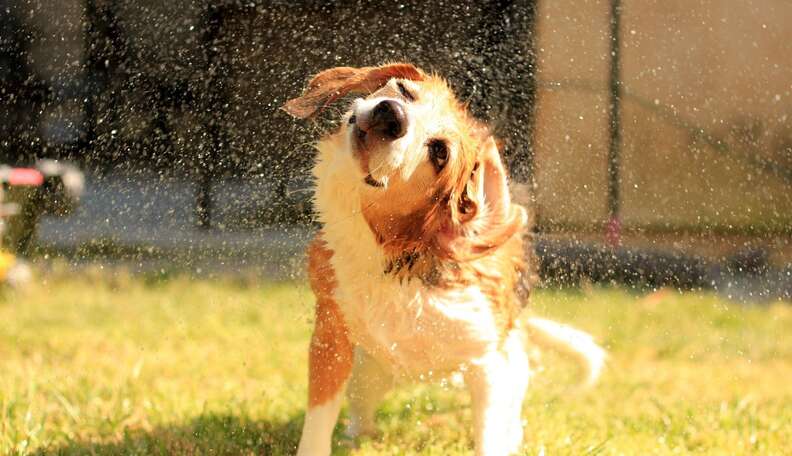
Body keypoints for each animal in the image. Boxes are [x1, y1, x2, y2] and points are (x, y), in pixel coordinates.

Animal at [284, 62, 608, 454]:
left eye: (440, 153)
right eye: (404, 91)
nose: (391, 115)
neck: (396, 254)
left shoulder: (488, 363)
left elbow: (489, 436)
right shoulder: (331, 338)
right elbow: (318, 423)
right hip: (367, 371)